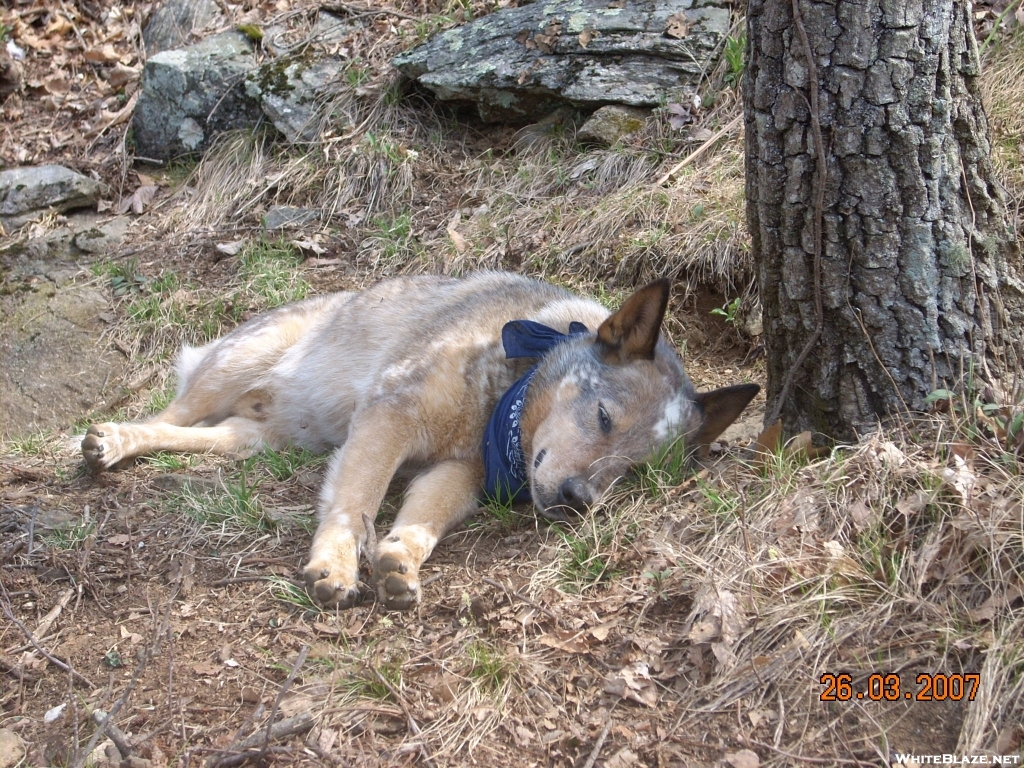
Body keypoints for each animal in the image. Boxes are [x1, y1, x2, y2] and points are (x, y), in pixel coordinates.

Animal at [81, 274, 761, 610]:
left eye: (634, 473)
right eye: (602, 418)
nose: (577, 501)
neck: (501, 402)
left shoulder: (457, 474)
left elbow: (420, 521)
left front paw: (400, 560)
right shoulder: (391, 415)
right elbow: (355, 502)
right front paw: (335, 565)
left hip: (257, 440)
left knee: (199, 435)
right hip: (239, 362)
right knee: (170, 411)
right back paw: (110, 438)